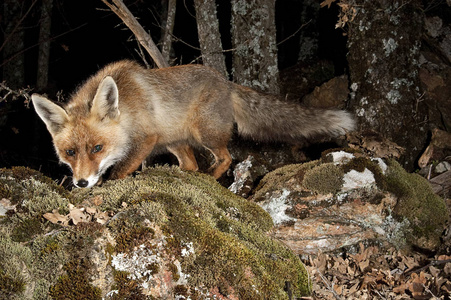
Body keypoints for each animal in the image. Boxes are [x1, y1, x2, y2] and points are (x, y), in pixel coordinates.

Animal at [32, 59, 356, 188]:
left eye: (98, 148)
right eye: (70, 153)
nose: (81, 183)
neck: (126, 110)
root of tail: (227, 82)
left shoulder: (146, 139)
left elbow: (119, 172)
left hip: (204, 134)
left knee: (225, 158)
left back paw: (211, 179)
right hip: (176, 141)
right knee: (191, 165)